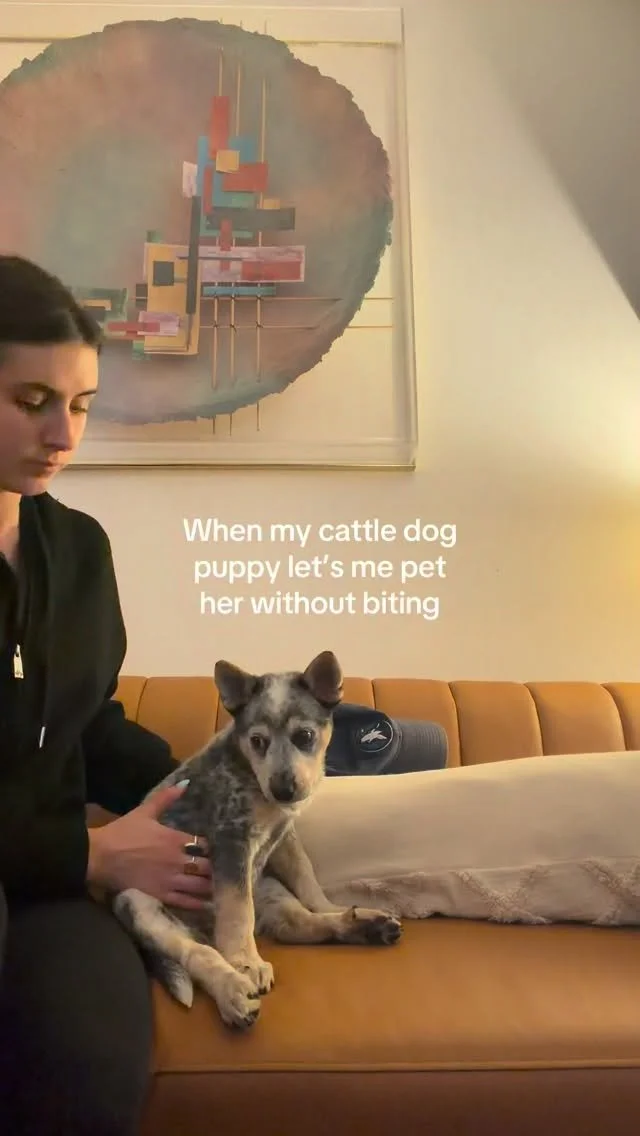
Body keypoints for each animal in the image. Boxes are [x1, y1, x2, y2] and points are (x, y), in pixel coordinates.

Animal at [112, 649, 402, 1029]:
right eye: (257, 741)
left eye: (304, 736)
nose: (284, 789)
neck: (252, 778)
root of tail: (203, 927)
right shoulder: (231, 840)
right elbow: (238, 911)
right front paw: (245, 963)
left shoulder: (284, 837)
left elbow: (306, 878)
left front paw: (331, 906)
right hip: (142, 907)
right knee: (200, 953)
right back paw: (233, 990)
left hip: (268, 887)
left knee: (295, 925)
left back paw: (363, 924)